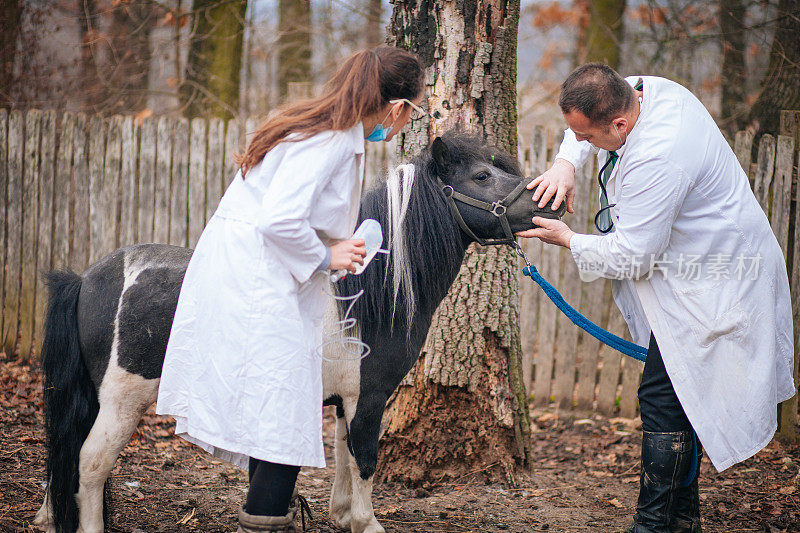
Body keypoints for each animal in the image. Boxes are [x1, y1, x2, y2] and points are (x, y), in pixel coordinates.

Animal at [36, 131, 564, 528]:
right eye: (482, 176)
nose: (551, 203)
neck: (364, 293)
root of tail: (89, 279)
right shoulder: (368, 397)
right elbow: (365, 459)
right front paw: (367, 523)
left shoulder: (344, 401)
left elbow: (345, 460)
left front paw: (344, 516)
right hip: (123, 400)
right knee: (90, 463)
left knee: (67, 452)